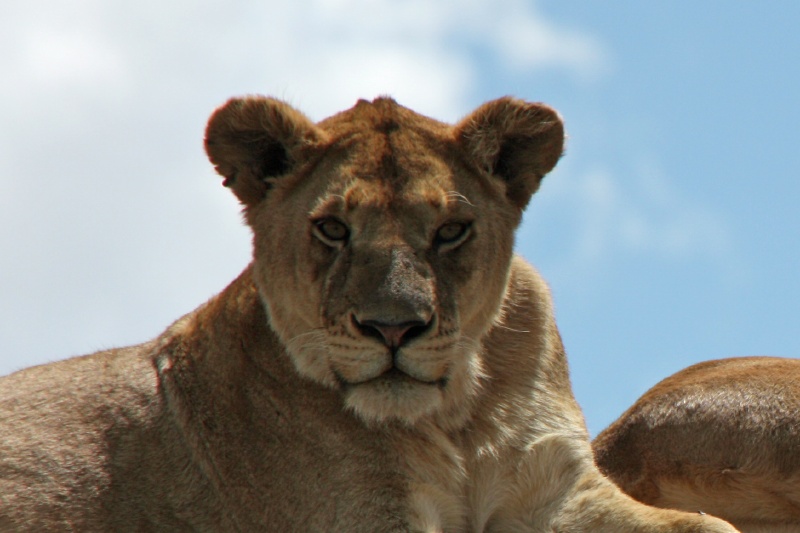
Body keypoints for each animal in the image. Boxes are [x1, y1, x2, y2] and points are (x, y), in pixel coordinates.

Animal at [0, 96, 738, 532]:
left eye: (450, 231)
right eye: (332, 229)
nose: (393, 329)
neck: (458, 418)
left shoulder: (558, 490)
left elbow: (711, 524)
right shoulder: (367, 516)